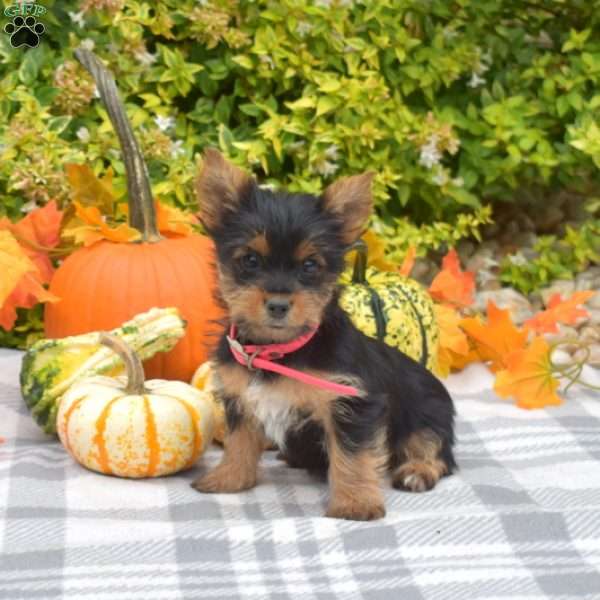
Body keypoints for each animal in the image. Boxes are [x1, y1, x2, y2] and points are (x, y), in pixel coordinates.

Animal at [192, 149, 454, 520]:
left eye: (310, 266)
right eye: (251, 260)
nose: (278, 305)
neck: (280, 351)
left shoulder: (354, 404)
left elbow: (353, 455)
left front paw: (355, 503)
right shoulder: (239, 397)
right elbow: (239, 440)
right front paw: (229, 478)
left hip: (428, 412)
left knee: (433, 448)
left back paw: (418, 470)